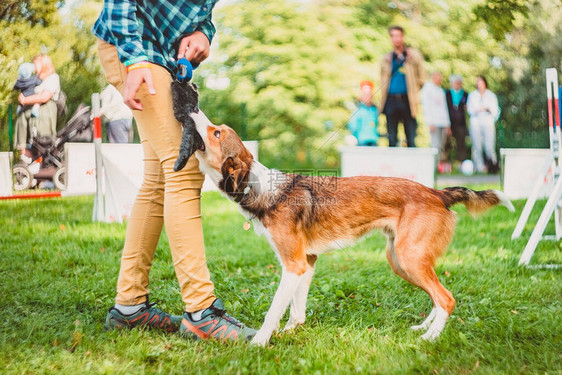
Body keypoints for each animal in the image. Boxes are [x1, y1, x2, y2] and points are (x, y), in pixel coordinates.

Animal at [178, 108, 512, 346]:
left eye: (216, 132)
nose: (192, 108)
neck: (262, 188)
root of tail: (437, 192)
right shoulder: (308, 262)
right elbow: (296, 310)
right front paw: (290, 333)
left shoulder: (294, 264)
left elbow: (274, 311)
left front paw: (259, 343)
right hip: (401, 261)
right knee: (437, 297)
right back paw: (425, 326)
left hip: (409, 258)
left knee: (446, 298)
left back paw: (430, 338)